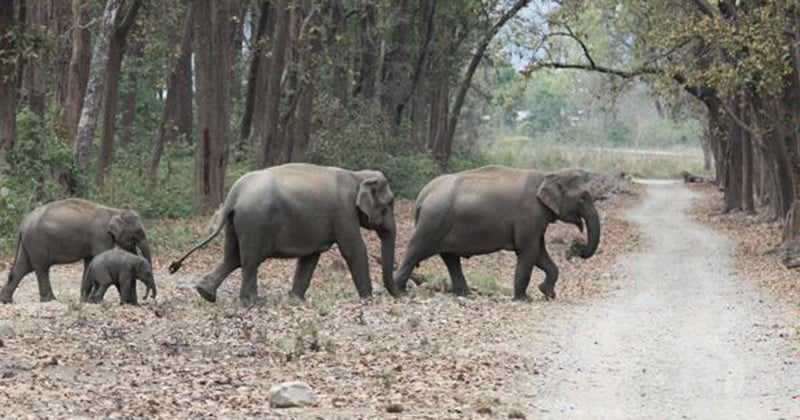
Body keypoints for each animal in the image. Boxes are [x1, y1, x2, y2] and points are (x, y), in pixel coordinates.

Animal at [0, 199, 152, 304]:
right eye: (138, 233)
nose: (144, 299)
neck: (115, 211)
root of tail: (23, 223)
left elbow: (90, 262)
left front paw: (85, 300)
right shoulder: (101, 237)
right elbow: (99, 257)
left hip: (29, 244)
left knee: (22, 268)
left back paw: (6, 300)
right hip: (37, 242)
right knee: (41, 268)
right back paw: (50, 299)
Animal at [173, 163, 404, 306]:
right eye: (389, 204)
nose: (401, 294)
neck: (357, 175)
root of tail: (234, 195)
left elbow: (310, 257)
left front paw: (296, 300)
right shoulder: (344, 211)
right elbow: (353, 249)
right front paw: (368, 299)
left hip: (235, 223)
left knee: (233, 257)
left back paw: (205, 293)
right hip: (255, 223)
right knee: (250, 260)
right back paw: (252, 303)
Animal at [394, 166, 600, 300]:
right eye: (583, 197)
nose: (578, 250)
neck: (548, 174)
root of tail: (423, 194)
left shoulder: (535, 221)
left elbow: (540, 253)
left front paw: (547, 293)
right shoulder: (529, 215)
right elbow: (529, 251)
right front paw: (523, 299)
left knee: (450, 258)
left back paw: (466, 295)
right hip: (432, 221)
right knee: (415, 250)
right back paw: (400, 291)